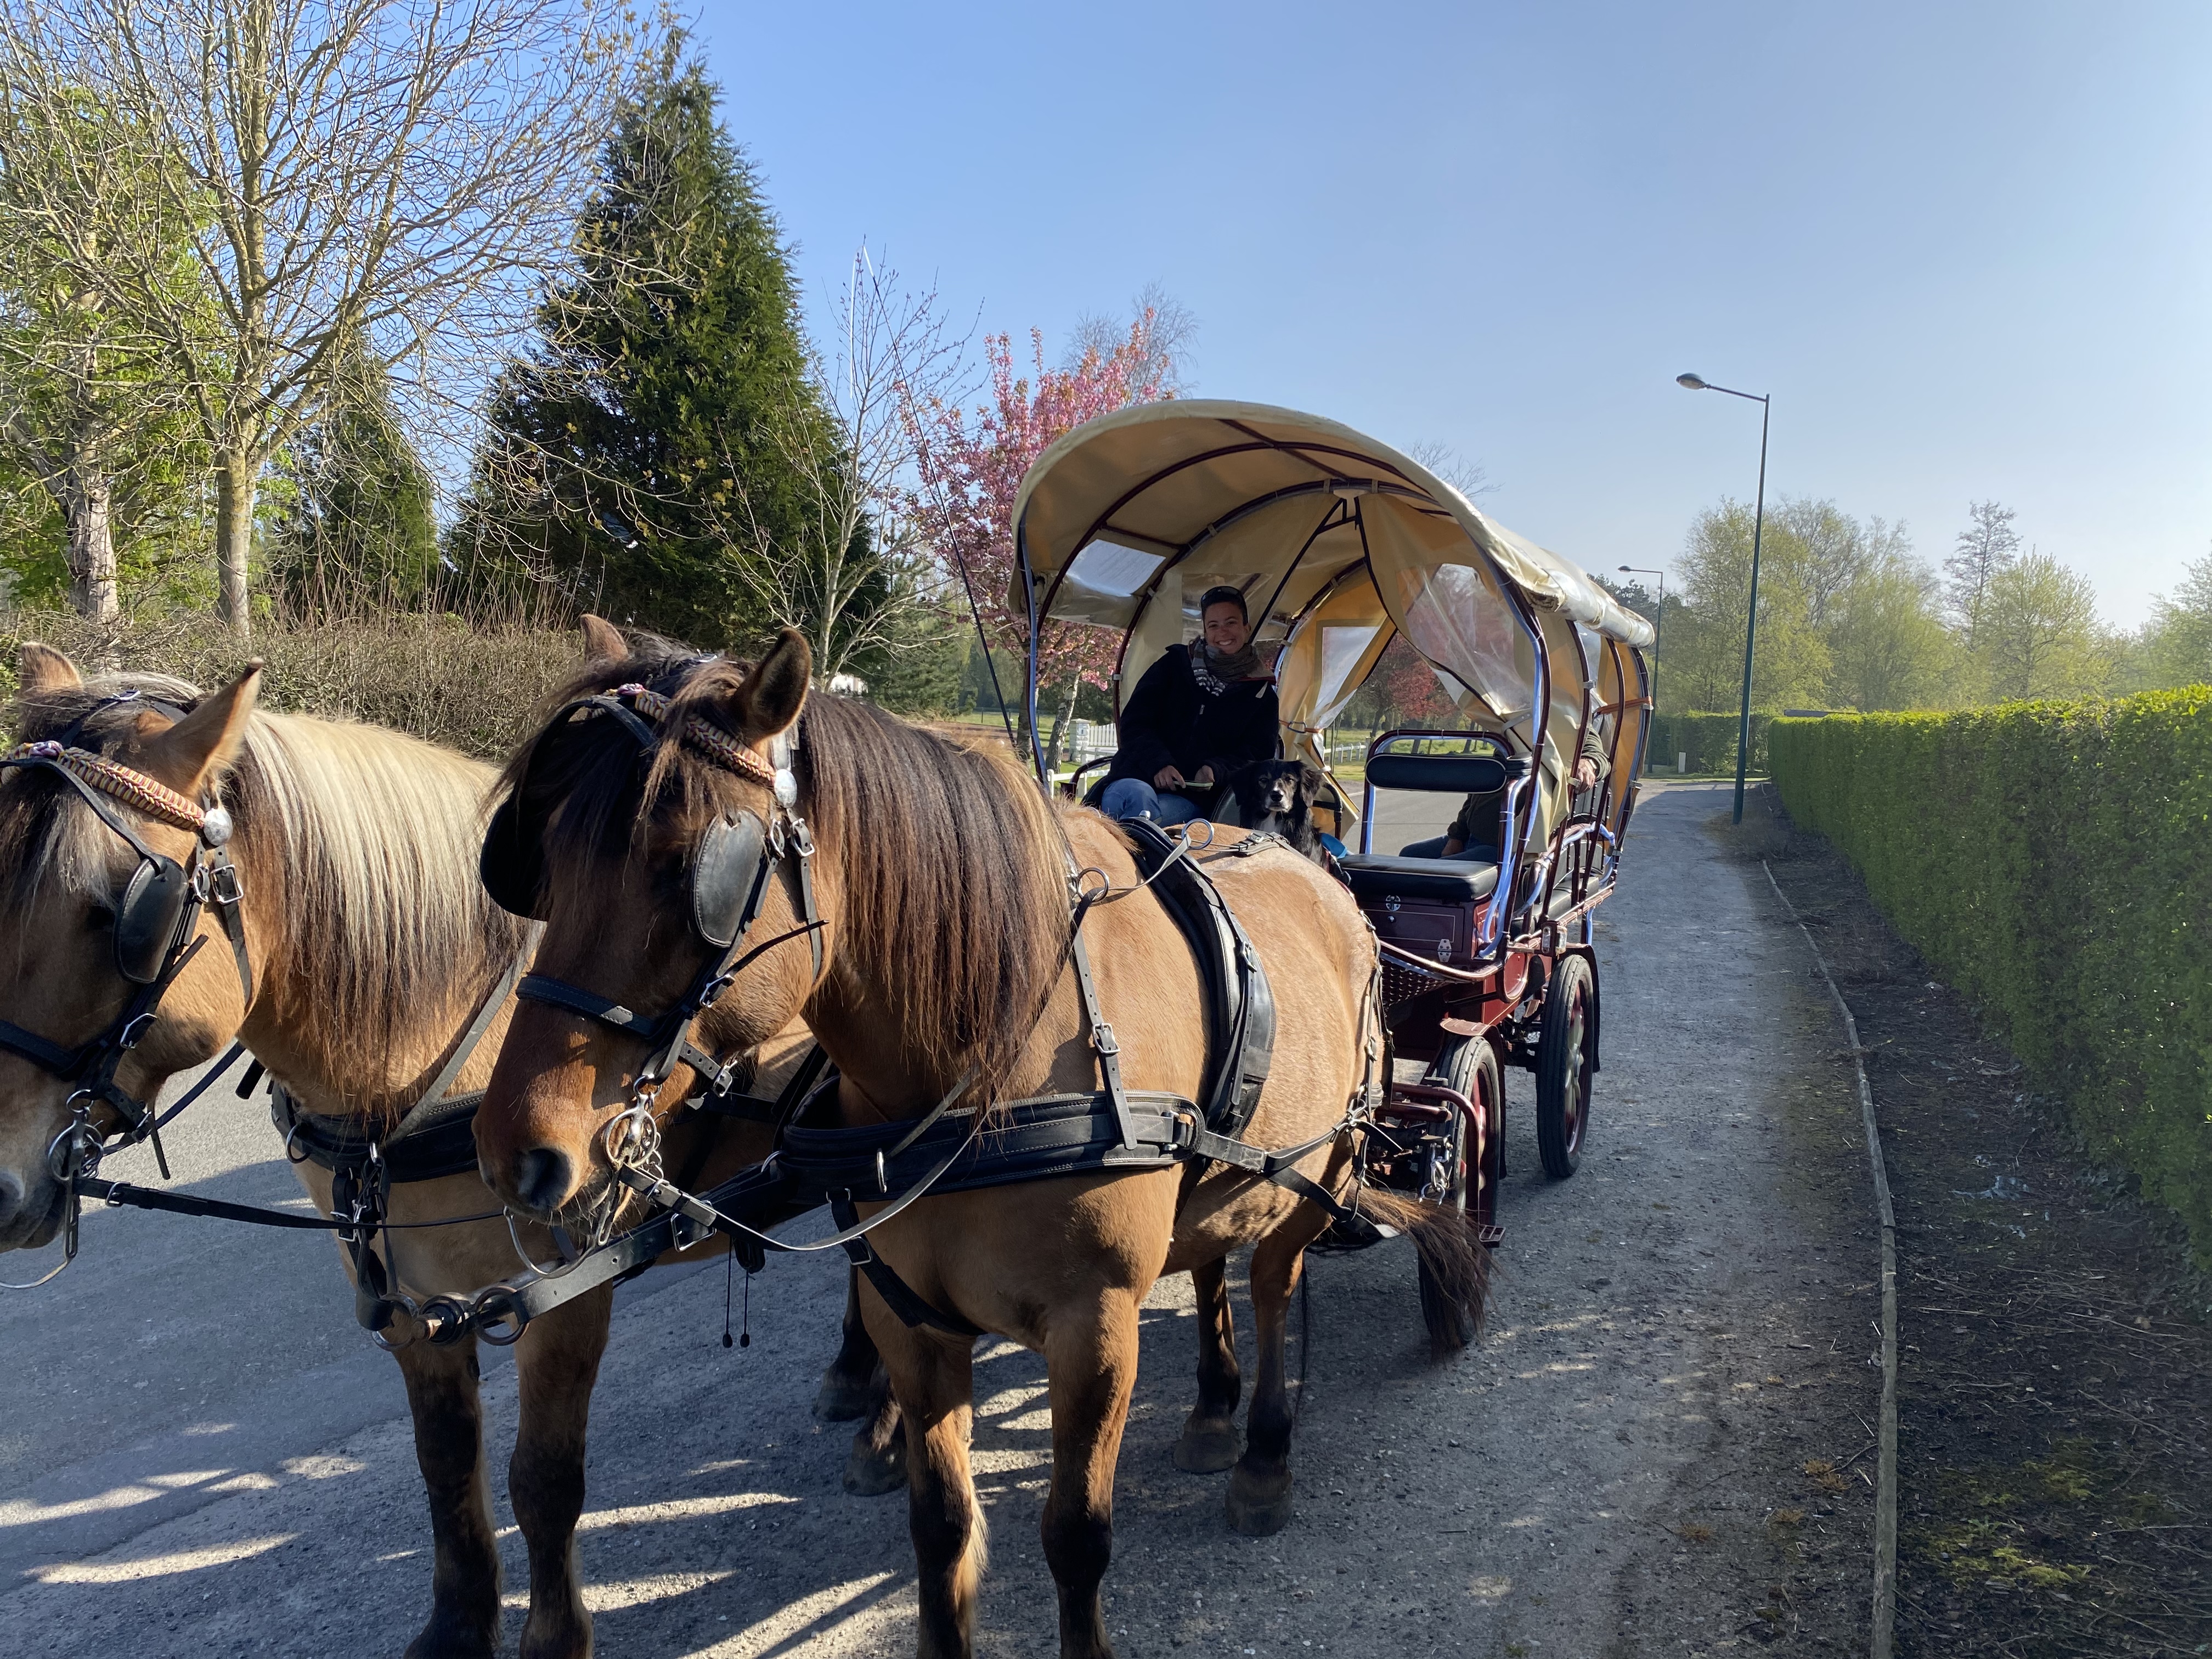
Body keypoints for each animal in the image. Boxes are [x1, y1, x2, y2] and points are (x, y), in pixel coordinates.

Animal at [0, 637, 889, 1659]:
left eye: (119, 915)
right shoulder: (410, 1301)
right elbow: (444, 1461)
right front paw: (458, 1623)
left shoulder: (563, 1289)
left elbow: (542, 1477)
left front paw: (555, 1637)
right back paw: (856, 1375)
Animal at [472, 628, 1488, 1659]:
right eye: (540, 861)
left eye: (686, 864)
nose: (517, 1152)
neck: (992, 1067)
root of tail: (1313, 871)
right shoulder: (912, 1320)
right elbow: (942, 1526)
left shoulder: (1095, 1329)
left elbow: (1076, 1533)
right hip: (1225, 1166)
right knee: (1211, 1258)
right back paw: (1210, 1409)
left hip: (1322, 1163)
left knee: (1278, 1287)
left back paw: (1265, 1453)